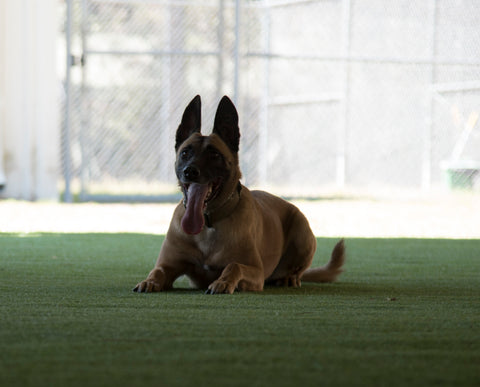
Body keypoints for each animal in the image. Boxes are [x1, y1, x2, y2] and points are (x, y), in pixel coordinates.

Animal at [134, 96, 344, 294]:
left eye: (214, 155)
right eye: (185, 152)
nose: (190, 171)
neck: (208, 224)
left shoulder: (256, 272)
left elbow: (234, 266)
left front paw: (223, 282)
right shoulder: (168, 264)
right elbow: (157, 271)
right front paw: (148, 281)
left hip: (302, 232)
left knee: (296, 270)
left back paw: (289, 278)